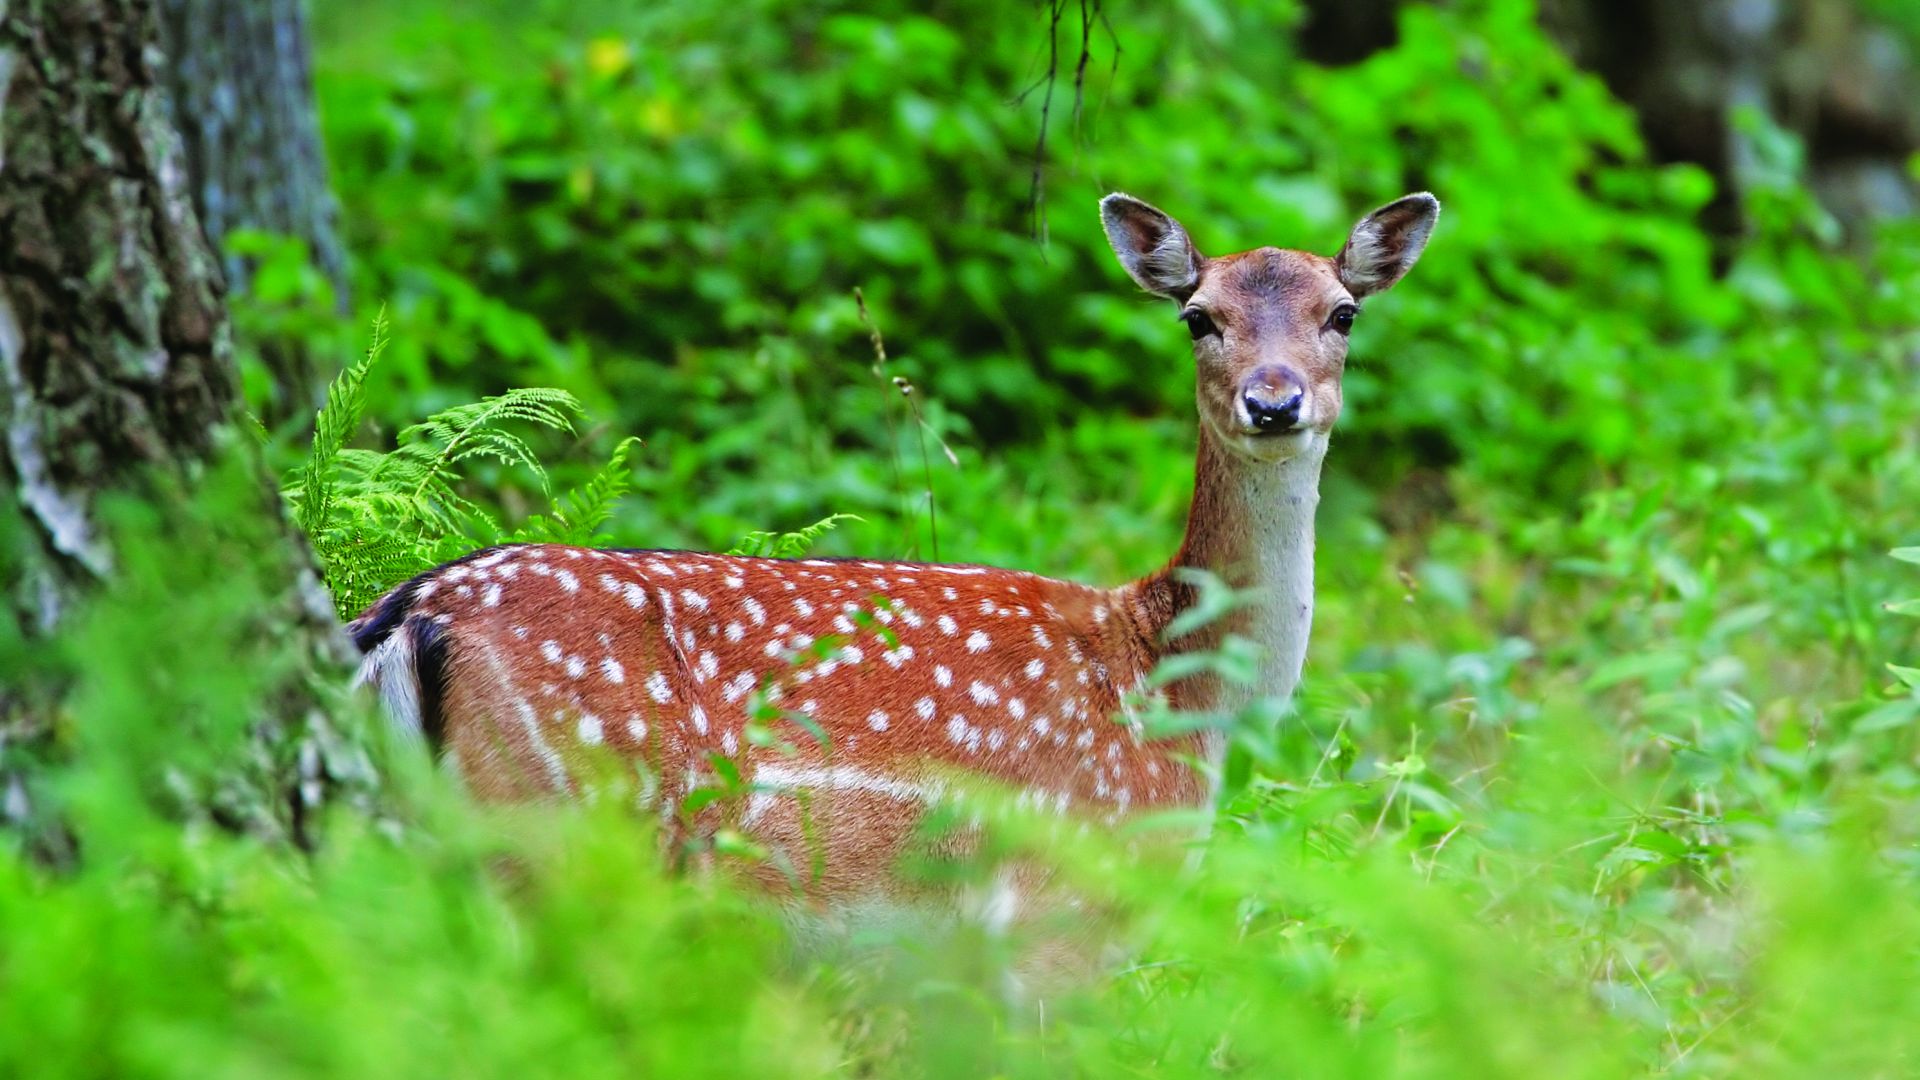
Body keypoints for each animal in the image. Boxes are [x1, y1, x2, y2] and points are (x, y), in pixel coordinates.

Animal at [353, 191, 1443, 907]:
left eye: (1342, 312)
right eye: (1197, 317)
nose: (1274, 400)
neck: (1179, 694)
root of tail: (404, 616)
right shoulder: (1059, 884)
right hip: (550, 822)